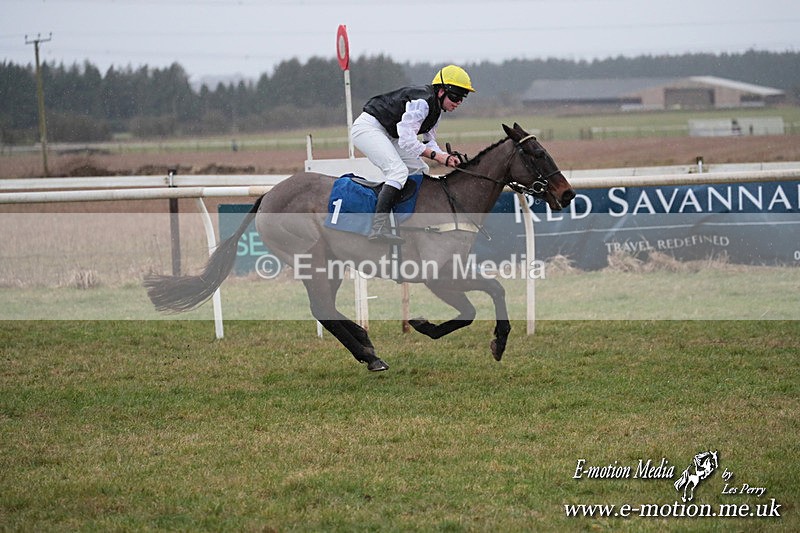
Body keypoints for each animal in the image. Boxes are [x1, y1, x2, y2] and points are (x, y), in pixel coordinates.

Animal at [144, 123, 575, 371]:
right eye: (537, 153)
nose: (567, 194)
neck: (454, 199)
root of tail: (267, 195)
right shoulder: (437, 275)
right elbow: (482, 301)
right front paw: (489, 340)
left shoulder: (449, 272)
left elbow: (485, 298)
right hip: (313, 258)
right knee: (322, 309)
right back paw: (369, 353)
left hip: (332, 263)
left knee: (326, 309)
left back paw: (364, 343)